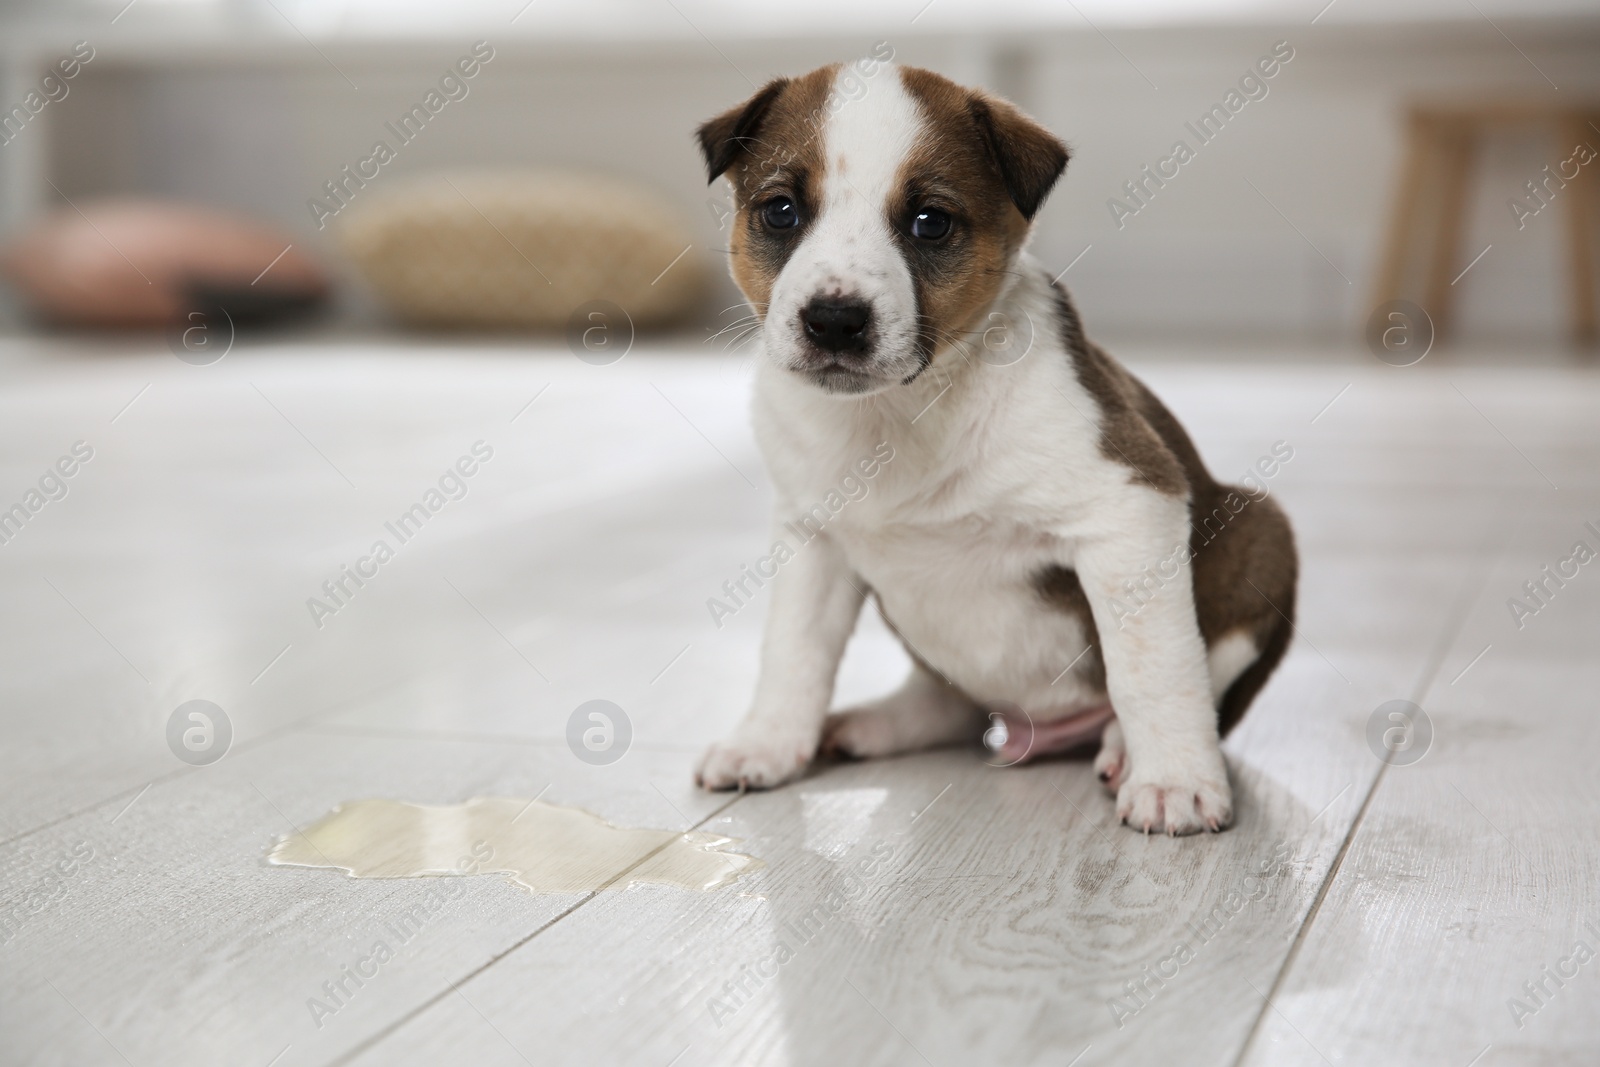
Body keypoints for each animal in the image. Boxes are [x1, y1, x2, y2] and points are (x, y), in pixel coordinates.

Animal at [694, 62, 1292, 838]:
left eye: (930, 222)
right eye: (781, 212)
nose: (833, 320)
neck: (901, 413)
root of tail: (1028, 725)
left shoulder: (1133, 506)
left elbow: (1152, 665)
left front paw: (1176, 781)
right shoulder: (812, 539)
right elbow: (794, 652)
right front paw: (767, 742)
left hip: (1262, 529)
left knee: (1199, 678)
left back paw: (1122, 747)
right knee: (947, 697)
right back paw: (878, 722)